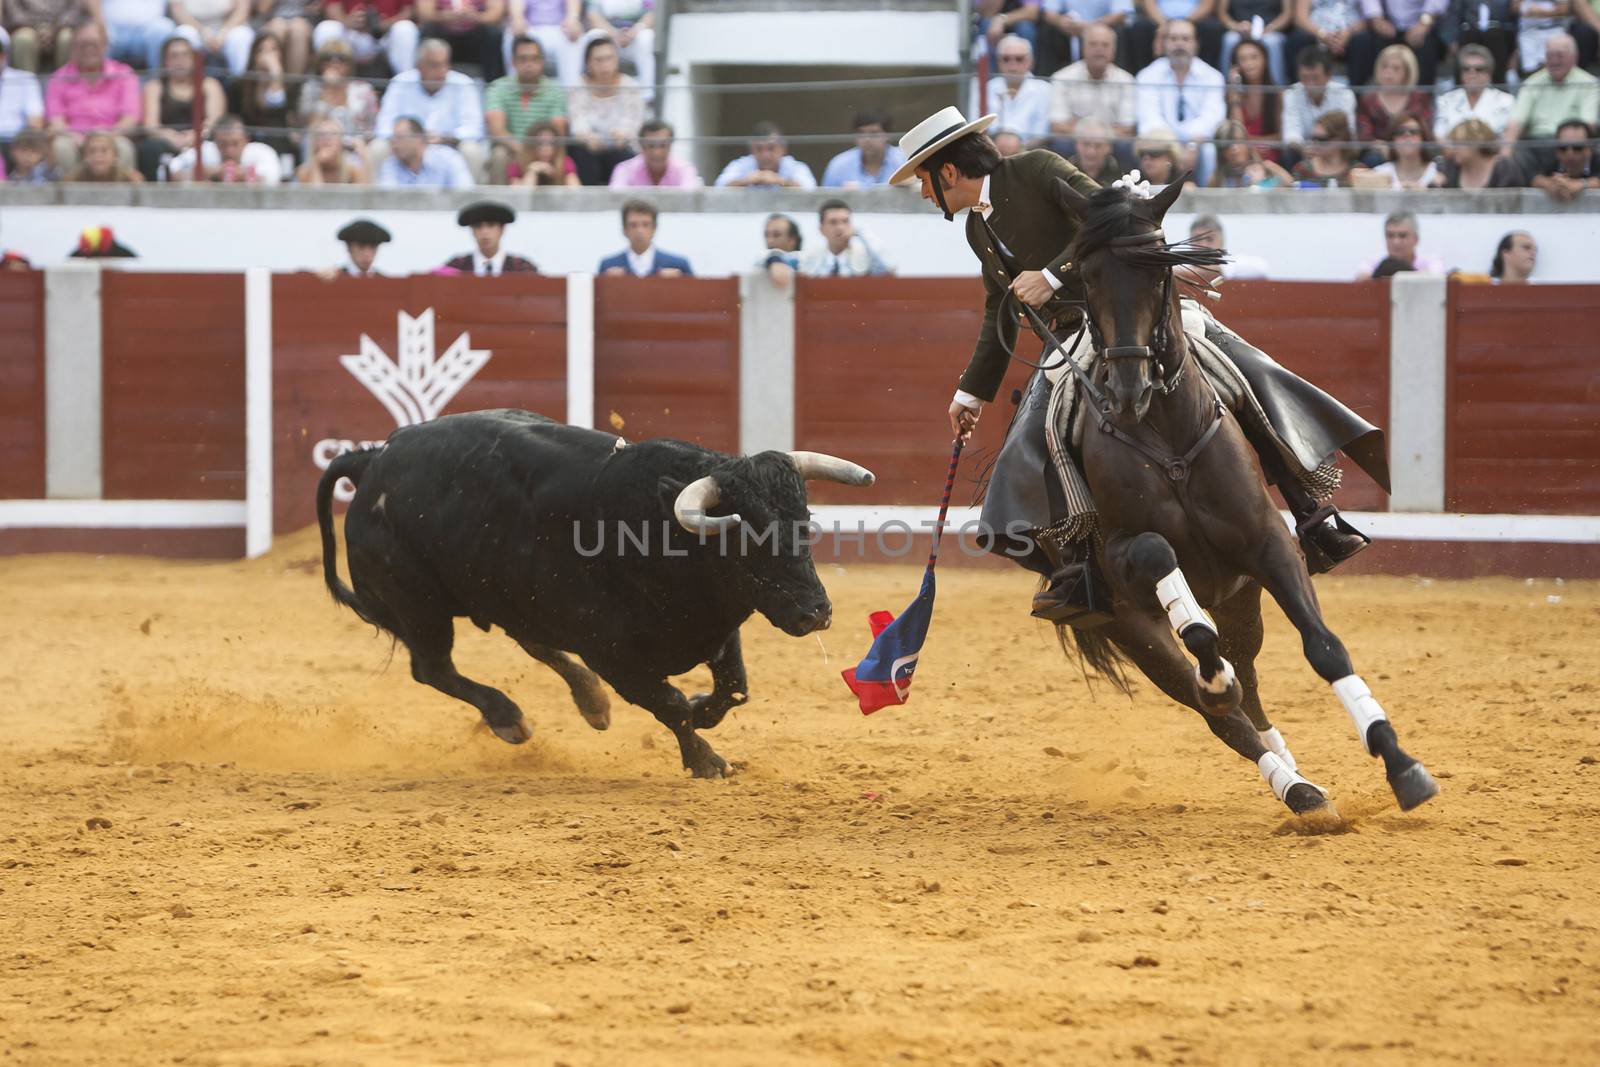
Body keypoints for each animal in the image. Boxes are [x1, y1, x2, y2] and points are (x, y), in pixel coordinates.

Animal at [315, 409, 876, 777]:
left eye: (805, 521)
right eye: (743, 535)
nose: (815, 613)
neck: (655, 529)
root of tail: (373, 461)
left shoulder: (716, 628)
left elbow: (732, 688)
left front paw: (702, 713)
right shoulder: (612, 654)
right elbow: (669, 703)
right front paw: (706, 761)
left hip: (508, 596)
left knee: (531, 642)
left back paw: (591, 703)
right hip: (419, 605)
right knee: (433, 668)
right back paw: (509, 719)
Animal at [1049, 179, 1440, 819]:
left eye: (1159, 271)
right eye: (1086, 274)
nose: (1127, 391)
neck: (1167, 433)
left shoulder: (1268, 544)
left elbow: (1325, 648)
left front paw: (1403, 766)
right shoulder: (1124, 556)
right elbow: (1164, 570)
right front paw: (1215, 675)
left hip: (1240, 599)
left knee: (1250, 686)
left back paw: (1301, 779)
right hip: (1132, 627)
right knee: (1217, 704)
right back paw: (1297, 788)